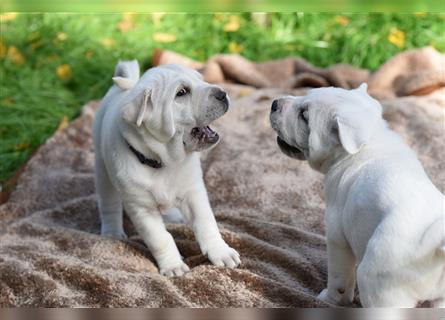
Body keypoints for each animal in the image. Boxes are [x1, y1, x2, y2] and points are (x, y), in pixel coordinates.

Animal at [92, 61, 241, 276]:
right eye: (182, 92)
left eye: (201, 79)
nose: (222, 93)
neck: (164, 162)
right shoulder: (142, 209)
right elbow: (161, 239)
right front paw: (173, 266)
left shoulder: (194, 192)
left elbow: (206, 223)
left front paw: (221, 252)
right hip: (102, 170)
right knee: (109, 204)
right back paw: (112, 232)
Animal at [268, 84, 444, 308]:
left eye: (304, 116)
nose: (274, 103)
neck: (369, 141)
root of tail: (435, 243)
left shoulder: (336, 237)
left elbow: (339, 277)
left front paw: (329, 299)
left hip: (379, 285)